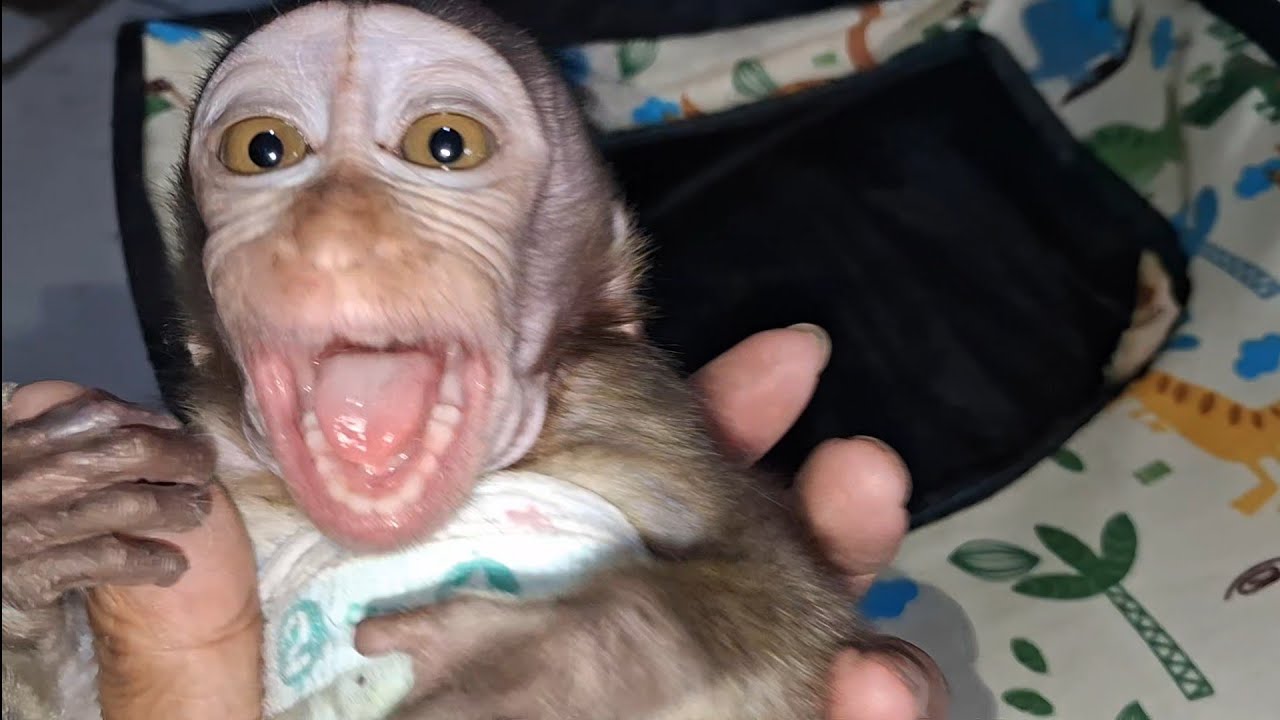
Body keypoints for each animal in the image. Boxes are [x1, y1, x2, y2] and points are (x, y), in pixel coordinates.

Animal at [1, 1, 863, 717]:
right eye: (263, 149)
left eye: (444, 144)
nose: (332, 232)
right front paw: (33, 531)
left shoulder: (647, 425)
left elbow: (793, 605)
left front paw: (553, 660)